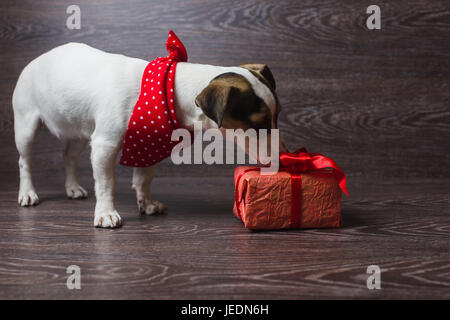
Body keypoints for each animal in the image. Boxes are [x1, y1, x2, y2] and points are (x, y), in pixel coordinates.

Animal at [13, 39, 284, 228]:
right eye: (259, 125)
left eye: (277, 116)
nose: (281, 159)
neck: (169, 91)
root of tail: (39, 59)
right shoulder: (104, 145)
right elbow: (106, 183)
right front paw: (106, 213)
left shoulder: (146, 146)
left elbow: (144, 179)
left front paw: (146, 203)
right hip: (26, 126)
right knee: (25, 161)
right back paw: (27, 192)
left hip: (78, 129)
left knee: (68, 156)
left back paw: (72, 187)